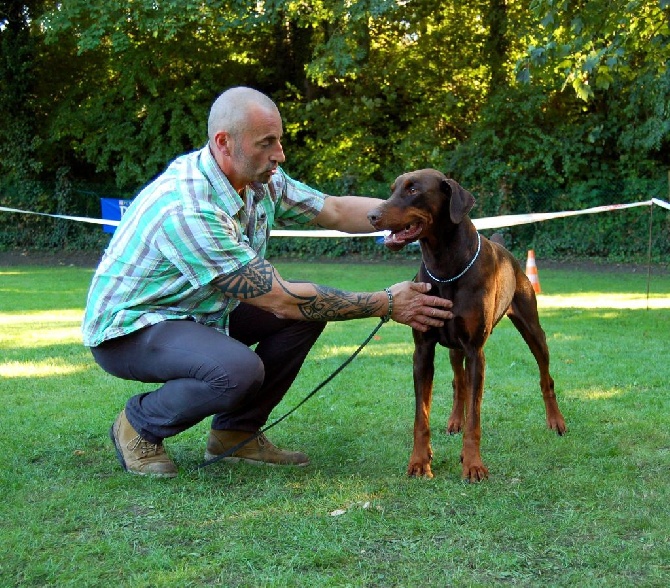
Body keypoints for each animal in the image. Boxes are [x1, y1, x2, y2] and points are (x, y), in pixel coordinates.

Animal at [368, 168, 568, 480]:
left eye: (413, 190)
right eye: (393, 189)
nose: (372, 215)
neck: (445, 265)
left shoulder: (475, 351)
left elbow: (475, 416)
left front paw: (473, 464)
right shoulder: (423, 350)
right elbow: (421, 415)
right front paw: (420, 461)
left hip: (532, 330)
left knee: (545, 376)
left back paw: (556, 421)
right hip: (453, 347)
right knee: (458, 382)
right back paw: (454, 421)